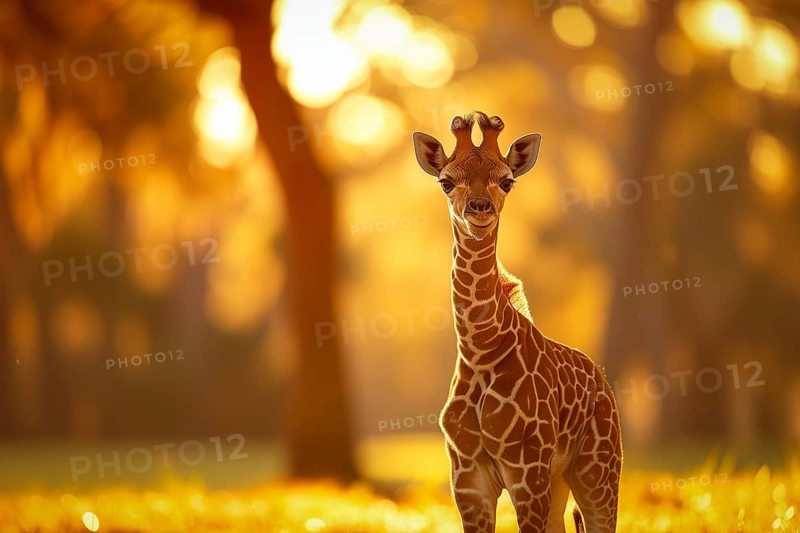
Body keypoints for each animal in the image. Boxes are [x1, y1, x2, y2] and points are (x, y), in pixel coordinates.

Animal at [412, 112, 622, 533]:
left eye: (507, 180)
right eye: (446, 181)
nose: (479, 209)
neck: (480, 349)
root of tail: (603, 380)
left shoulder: (527, 470)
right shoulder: (467, 478)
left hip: (598, 471)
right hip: (560, 482)